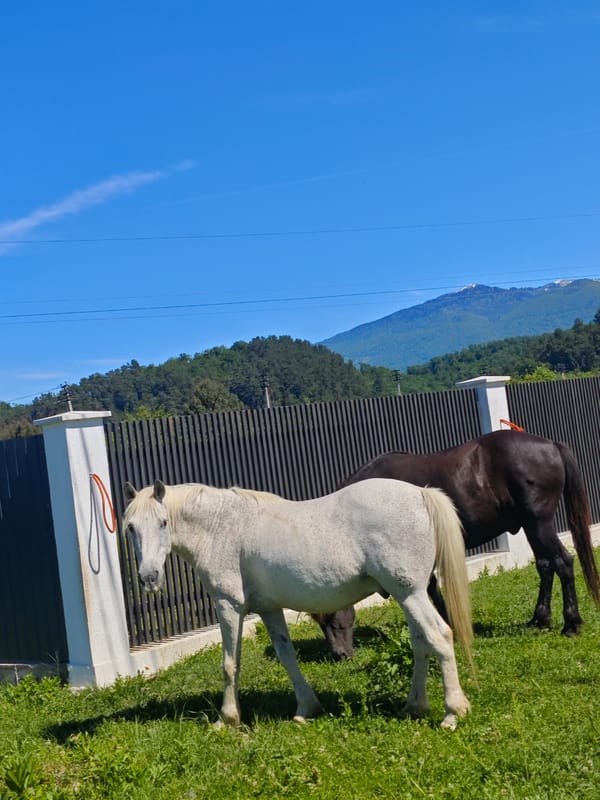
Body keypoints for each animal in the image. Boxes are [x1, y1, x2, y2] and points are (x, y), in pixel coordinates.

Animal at [123, 477, 473, 730]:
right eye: (130, 528)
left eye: (163, 523)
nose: (149, 577)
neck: (222, 527)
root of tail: (420, 494)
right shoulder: (269, 609)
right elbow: (286, 656)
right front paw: (306, 707)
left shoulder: (228, 606)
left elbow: (229, 663)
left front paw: (228, 719)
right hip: (408, 595)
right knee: (420, 642)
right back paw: (414, 705)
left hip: (411, 594)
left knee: (440, 636)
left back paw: (453, 712)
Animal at [318, 429, 600, 659]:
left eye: (329, 616)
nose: (340, 655)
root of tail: (550, 445)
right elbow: (433, 589)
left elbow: (428, 591)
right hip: (531, 526)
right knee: (545, 566)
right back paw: (539, 619)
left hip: (539, 524)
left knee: (563, 563)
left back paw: (571, 624)